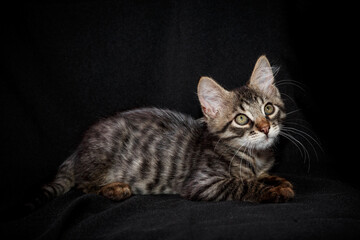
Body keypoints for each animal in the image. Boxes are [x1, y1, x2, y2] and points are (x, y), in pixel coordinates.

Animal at [38, 55, 294, 205]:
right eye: (241, 119)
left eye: (268, 108)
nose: (265, 128)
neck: (255, 155)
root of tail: (78, 150)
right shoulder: (202, 182)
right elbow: (241, 183)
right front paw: (273, 190)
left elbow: (258, 176)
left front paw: (276, 180)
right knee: (83, 185)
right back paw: (114, 188)